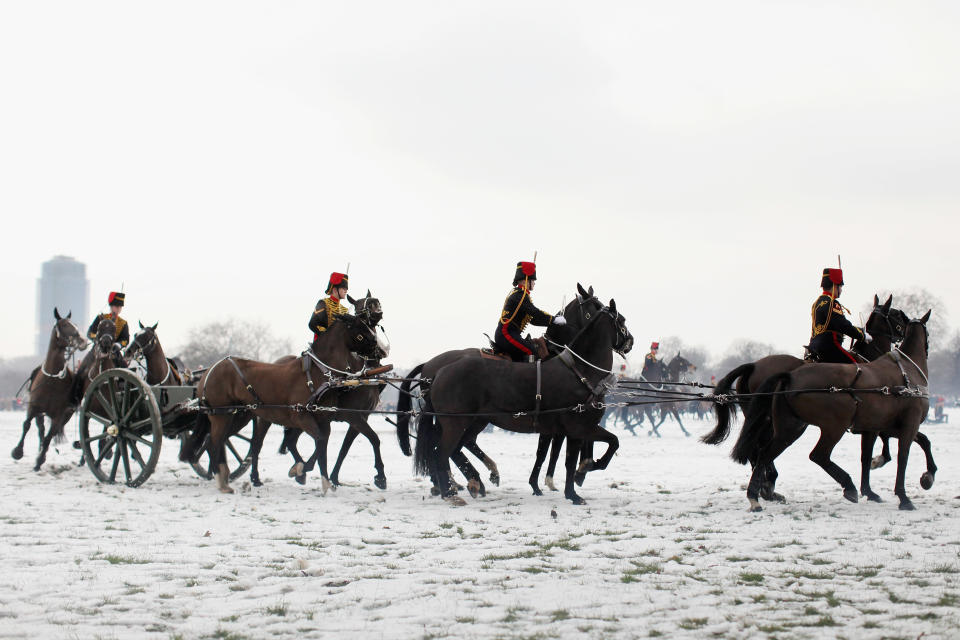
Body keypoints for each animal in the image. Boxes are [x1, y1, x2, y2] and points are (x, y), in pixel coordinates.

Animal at [12, 308, 87, 464]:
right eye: (64, 324)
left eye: (75, 324)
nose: (82, 340)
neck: (51, 380)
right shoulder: (33, 407)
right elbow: (26, 425)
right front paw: (18, 451)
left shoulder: (59, 414)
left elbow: (50, 435)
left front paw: (40, 460)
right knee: (40, 428)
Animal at [193, 316, 376, 496]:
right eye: (359, 325)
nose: (377, 346)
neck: (316, 373)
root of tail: (209, 371)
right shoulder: (301, 417)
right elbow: (319, 442)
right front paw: (309, 474)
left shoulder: (324, 420)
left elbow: (322, 445)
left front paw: (317, 476)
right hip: (221, 415)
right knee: (215, 442)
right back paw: (221, 480)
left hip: (236, 415)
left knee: (221, 441)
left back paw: (228, 477)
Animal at [414, 296, 632, 504]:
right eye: (621, 320)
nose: (631, 341)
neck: (580, 371)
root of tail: (438, 372)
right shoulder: (579, 427)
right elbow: (610, 443)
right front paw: (582, 476)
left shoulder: (573, 430)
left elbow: (571, 459)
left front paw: (572, 487)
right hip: (455, 424)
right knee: (441, 453)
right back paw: (450, 491)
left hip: (472, 422)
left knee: (454, 449)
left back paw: (468, 483)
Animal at [700, 298, 932, 508]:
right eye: (896, 315)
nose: (902, 334)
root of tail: (754, 366)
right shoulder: (879, 425)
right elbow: (887, 452)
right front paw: (880, 477)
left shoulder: (878, 424)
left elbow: (887, 450)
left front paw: (874, 481)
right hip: (800, 424)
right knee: (772, 451)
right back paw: (770, 486)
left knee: (759, 450)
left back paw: (765, 489)